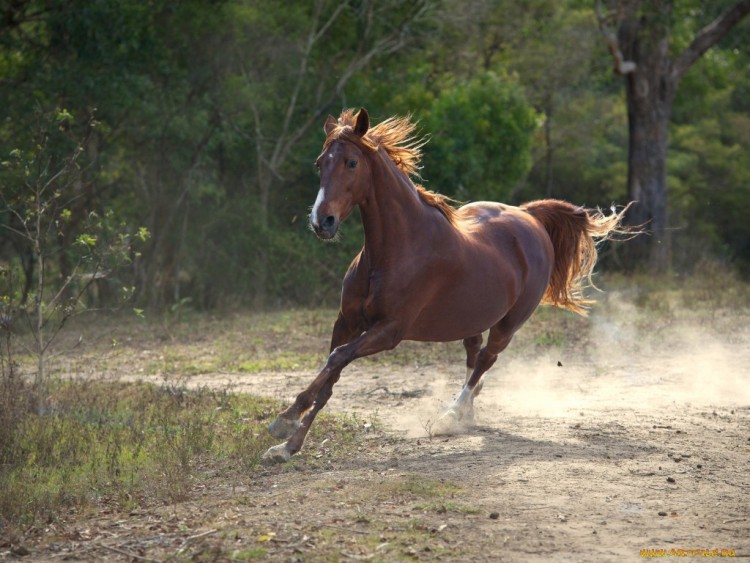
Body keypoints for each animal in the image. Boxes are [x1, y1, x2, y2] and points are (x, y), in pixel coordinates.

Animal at [262, 109, 632, 462]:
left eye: (351, 162)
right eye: (320, 163)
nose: (321, 222)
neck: (397, 250)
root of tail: (529, 216)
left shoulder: (389, 331)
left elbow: (336, 360)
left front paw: (285, 421)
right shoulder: (346, 322)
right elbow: (331, 375)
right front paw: (288, 445)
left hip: (509, 324)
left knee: (485, 360)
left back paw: (451, 414)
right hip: (473, 318)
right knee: (474, 357)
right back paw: (465, 414)